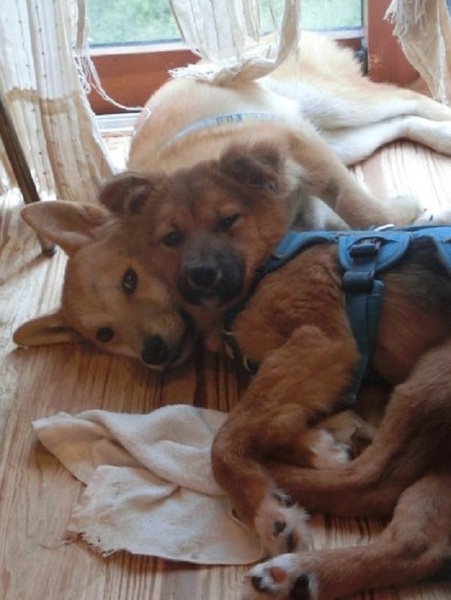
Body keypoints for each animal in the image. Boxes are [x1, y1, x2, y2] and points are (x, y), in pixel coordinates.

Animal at [100, 144, 451, 599]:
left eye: (228, 220)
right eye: (171, 237)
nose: (201, 275)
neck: (267, 266)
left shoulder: (322, 341)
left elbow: (227, 439)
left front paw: (264, 508)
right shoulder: (298, 370)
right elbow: (269, 420)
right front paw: (317, 446)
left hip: (429, 375)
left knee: (371, 482)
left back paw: (275, 486)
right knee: (416, 544)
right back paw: (302, 572)